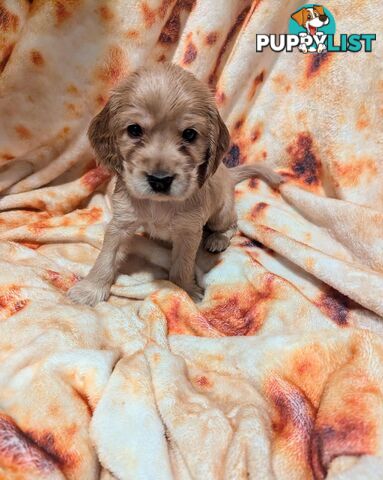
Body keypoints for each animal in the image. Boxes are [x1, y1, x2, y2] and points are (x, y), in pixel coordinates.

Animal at [68, 62, 282, 306]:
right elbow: (106, 257)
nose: (159, 180)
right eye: (134, 130)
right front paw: (90, 288)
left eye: (189, 134)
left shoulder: (188, 232)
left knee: (233, 224)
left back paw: (217, 239)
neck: (159, 204)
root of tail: (228, 173)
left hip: (221, 213)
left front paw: (184, 291)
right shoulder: (121, 222)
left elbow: (182, 265)